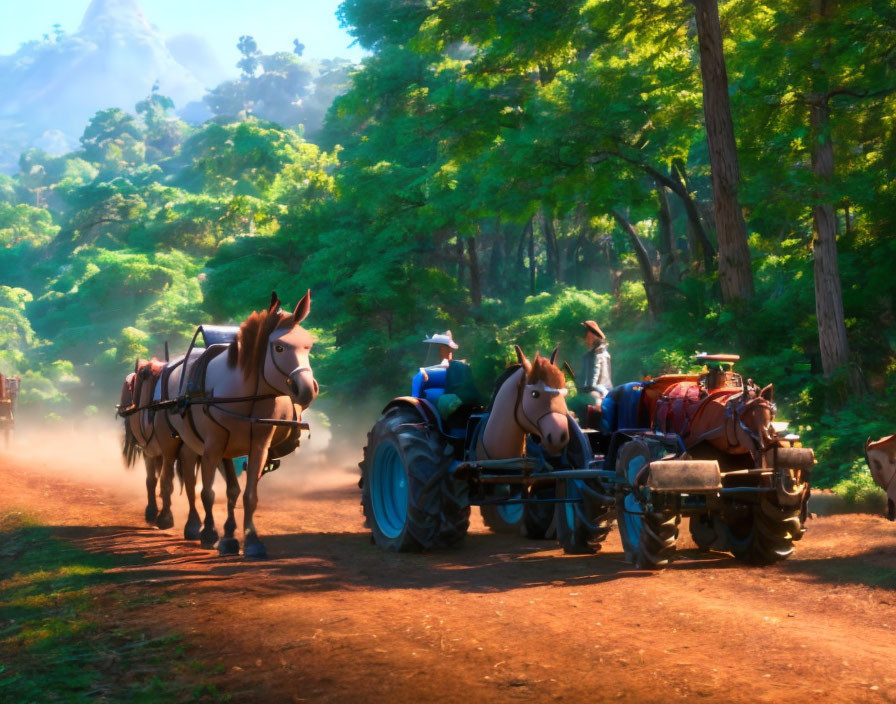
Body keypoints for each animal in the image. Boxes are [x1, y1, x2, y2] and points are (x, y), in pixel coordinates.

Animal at [164, 290, 318, 556]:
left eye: (308, 346)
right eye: (279, 347)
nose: (308, 390)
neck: (246, 396)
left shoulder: (259, 446)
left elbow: (248, 495)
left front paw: (251, 540)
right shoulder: (212, 446)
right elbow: (207, 492)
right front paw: (209, 533)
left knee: (232, 490)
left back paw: (228, 534)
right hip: (188, 443)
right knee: (191, 480)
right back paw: (193, 525)